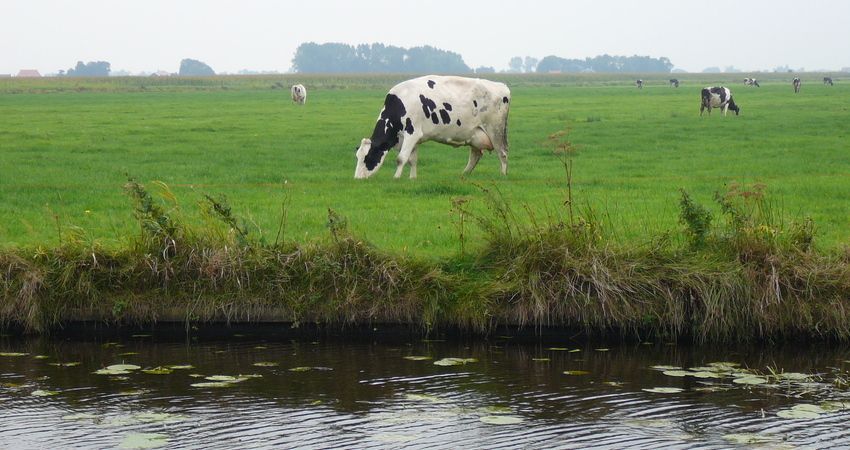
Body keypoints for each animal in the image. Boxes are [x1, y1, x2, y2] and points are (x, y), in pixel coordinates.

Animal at [352, 74, 510, 178]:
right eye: (357, 157)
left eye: (367, 157)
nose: (357, 178)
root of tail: (502, 85)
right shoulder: (413, 138)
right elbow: (412, 160)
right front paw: (412, 178)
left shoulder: (412, 133)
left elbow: (401, 158)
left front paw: (396, 178)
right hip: (474, 134)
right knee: (475, 155)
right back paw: (464, 174)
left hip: (495, 130)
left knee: (502, 153)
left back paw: (502, 175)